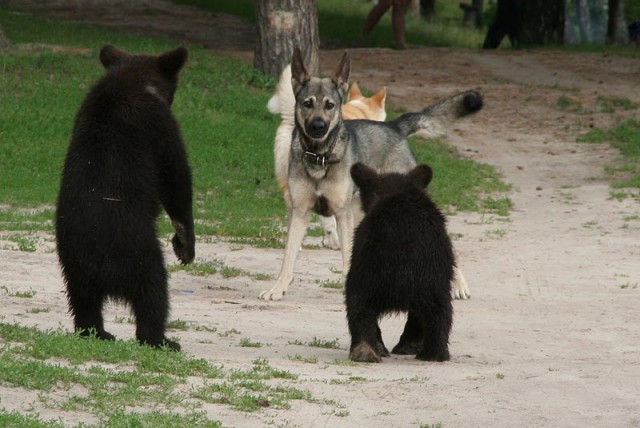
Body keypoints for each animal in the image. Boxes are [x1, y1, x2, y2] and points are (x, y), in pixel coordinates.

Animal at [258, 47, 480, 300]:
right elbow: (288, 258)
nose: (318, 127)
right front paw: (277, 289)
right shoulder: (300, 213)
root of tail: (394, 126)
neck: (320, 157)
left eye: (330, 105)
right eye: (307, 103)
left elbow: (346, 258)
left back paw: (458, 285)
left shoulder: (342, 214)